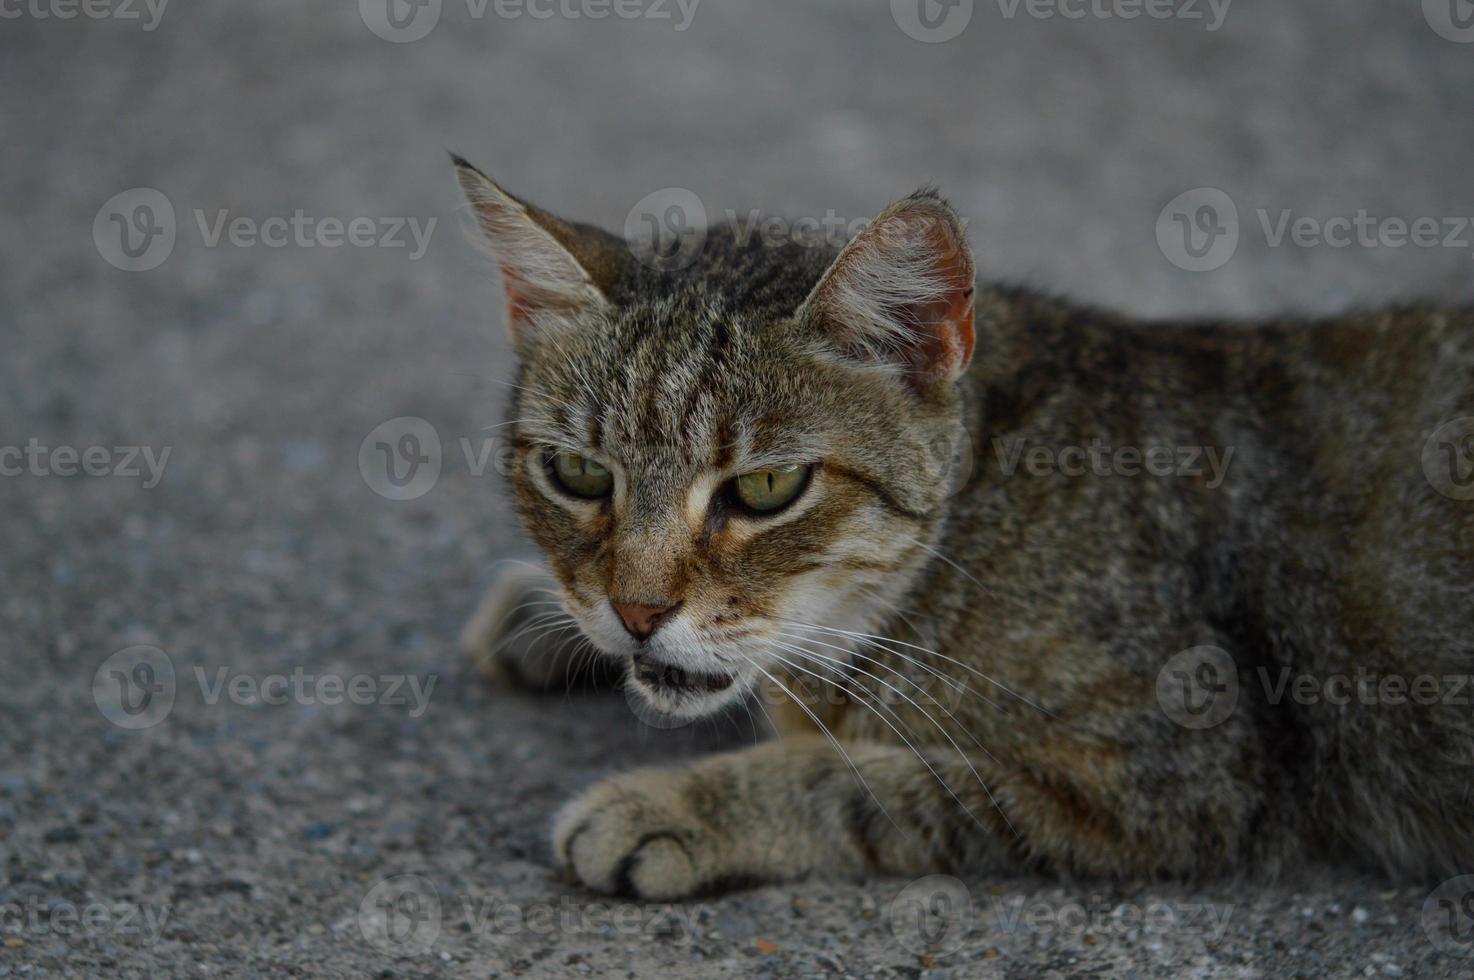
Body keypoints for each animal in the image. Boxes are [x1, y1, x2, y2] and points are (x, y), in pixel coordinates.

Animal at [451, 151, 1474, 896]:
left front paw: (681, 806)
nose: (635, 613)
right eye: (580, 473)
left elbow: (862, 780)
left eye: (769, 486)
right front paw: (546, 612)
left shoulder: (1175, 770)